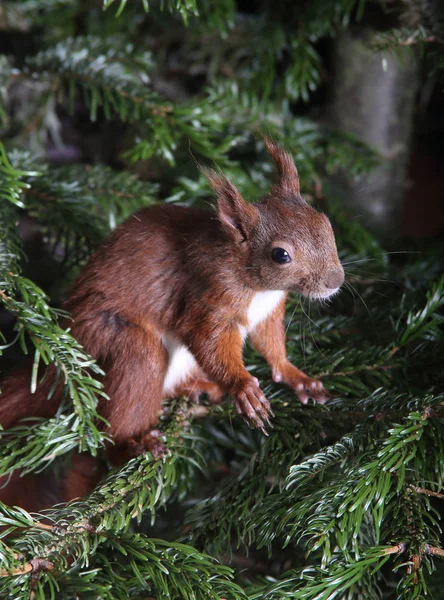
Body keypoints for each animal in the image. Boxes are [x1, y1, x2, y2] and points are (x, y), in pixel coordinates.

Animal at [0, 138, 344, 508]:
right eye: (280, 255)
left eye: (327, 225)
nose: (336, 281)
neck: (256, 284)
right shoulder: (207, 295)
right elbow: (207, 340)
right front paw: (243, 388)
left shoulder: (268, 313)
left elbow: (272, 346)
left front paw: (297, 377)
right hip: (123, 343)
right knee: (117, 421)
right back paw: (134, 445)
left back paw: (199, 388)